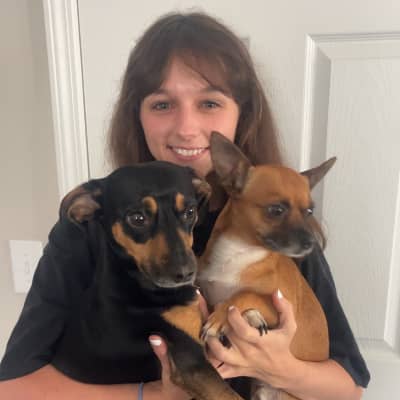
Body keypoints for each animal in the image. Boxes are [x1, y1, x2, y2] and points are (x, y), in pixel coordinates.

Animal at [198, 132, 335, 400]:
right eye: (276, 210)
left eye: (309, 211)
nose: (310, 243)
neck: (239, 252)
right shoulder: (207, 294)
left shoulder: (280, 308)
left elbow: (247, 294)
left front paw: (229, 315)